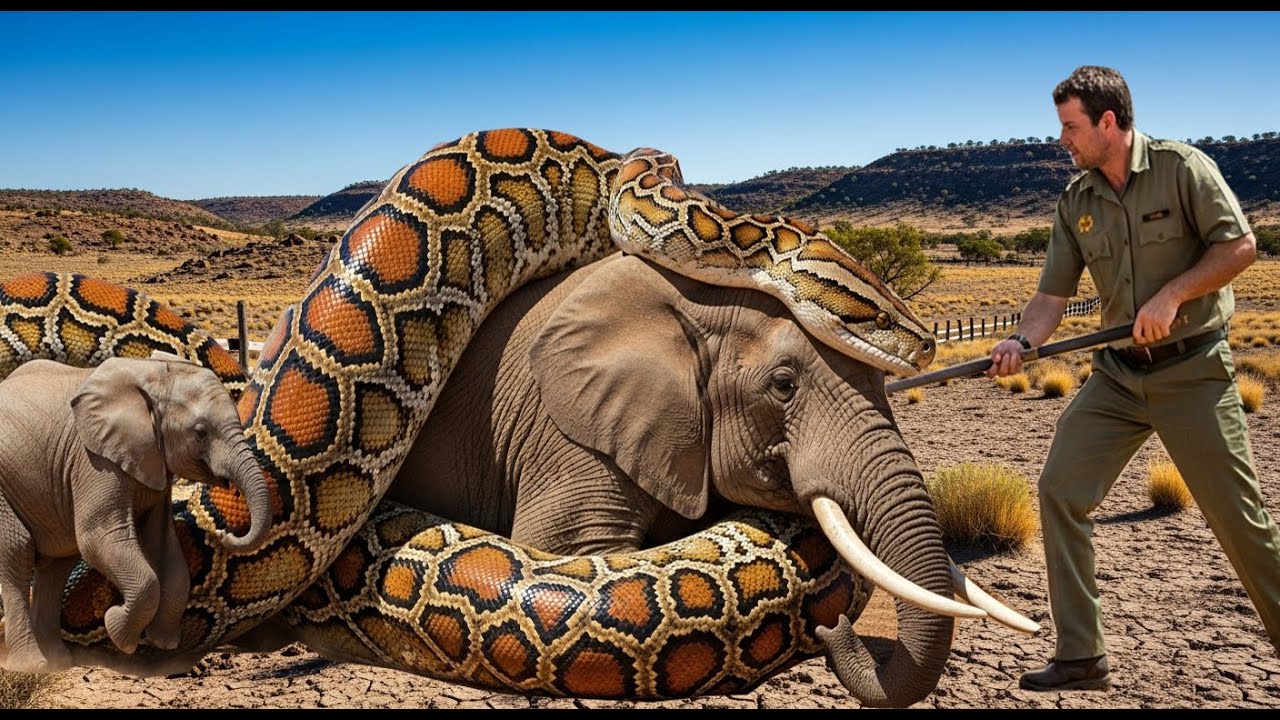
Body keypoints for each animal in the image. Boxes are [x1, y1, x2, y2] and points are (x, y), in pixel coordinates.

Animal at [0, 353, 273, 674]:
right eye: (200, 432)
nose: (227, 531)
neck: (152, 375)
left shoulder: (153, 463)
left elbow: (163, 544)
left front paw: (163, 642)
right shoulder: (94, 460)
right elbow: (99, 538)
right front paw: (117, 628)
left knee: (57, 564)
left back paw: (59, 661)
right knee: (18, 550)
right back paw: (34, 666)